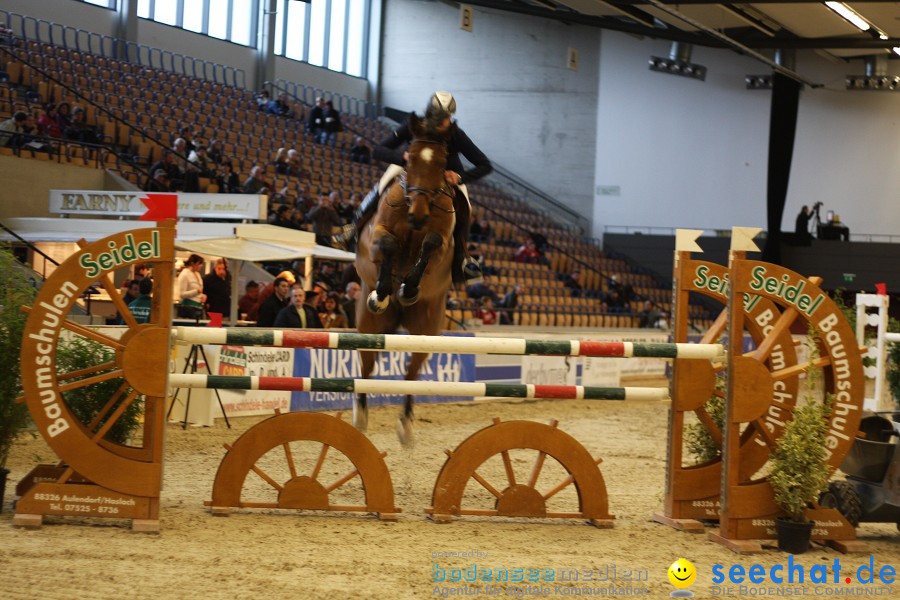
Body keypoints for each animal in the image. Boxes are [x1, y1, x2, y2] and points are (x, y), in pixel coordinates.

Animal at [356, 112, 460, 442]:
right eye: (410, 158)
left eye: (442, 163)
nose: (418, 215)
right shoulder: (374, 237)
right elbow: (387, 245)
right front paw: (383, 291)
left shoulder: (442, 249)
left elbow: (431, 245)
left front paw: (408, 288)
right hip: (369, 327)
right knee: (366, 367)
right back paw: (360, 415)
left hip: (426, 329)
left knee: (412, 372)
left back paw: (406, 424)